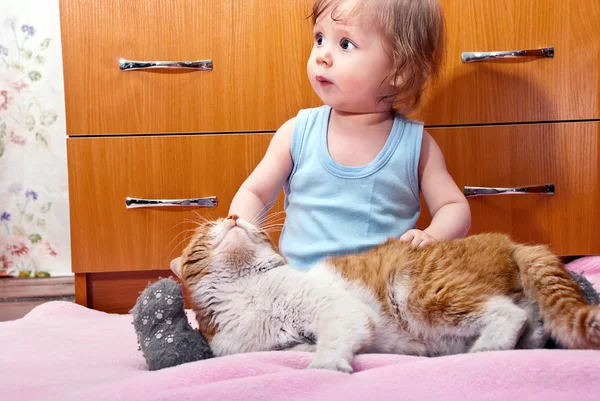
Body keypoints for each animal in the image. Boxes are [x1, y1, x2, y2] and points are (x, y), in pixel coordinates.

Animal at [169, 212, 600, 372]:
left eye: (248, 222)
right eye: (208, 228)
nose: (234, 215)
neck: (250, 293)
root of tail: (508, 240)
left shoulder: (338, 311)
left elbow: (331, 342)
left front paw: (325, 366)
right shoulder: (249, 348)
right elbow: (296, 348)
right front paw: (309, 352)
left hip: (420, 293)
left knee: (510, 314)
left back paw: (486, 351)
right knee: (532, 318)